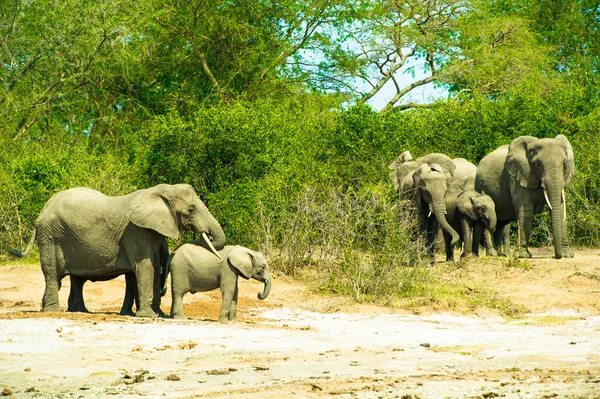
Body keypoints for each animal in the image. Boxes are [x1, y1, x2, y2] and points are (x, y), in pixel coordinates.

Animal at [11, 184, 227, 318]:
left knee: (75, 278)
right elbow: (146, 266)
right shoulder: (135, 230)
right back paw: (54, 311)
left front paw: (156, 315)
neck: (157, 192)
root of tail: (42, 212)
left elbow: (149, 267)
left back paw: (78, 311)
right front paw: (148, 316)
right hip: (51, 235)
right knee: (52, 273)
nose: (208, 236)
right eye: (191, 210)